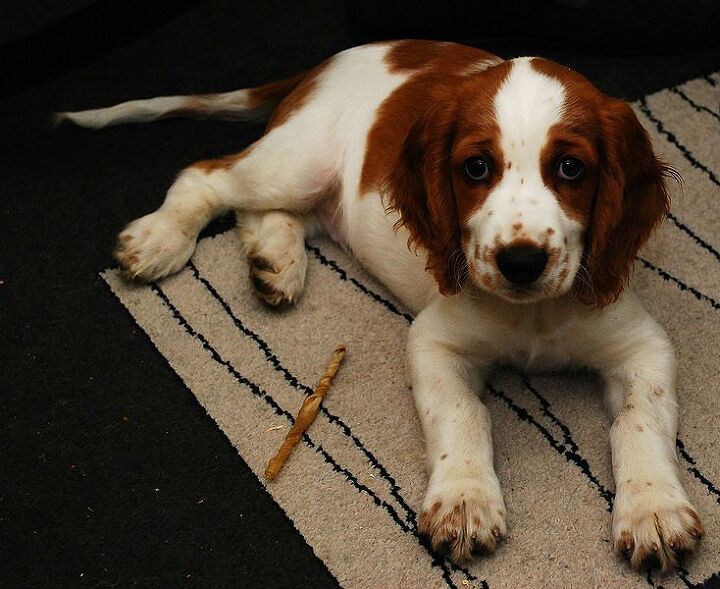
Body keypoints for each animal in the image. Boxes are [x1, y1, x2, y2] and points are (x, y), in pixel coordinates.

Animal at [57, 40, 704, 568]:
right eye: (476, 167)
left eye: (571, 168)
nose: (520, 262)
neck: (531, 311)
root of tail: (331, 61)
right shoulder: (434, 340)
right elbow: (464, 413)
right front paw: (464, 501)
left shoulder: (641, 343)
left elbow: (639, 418)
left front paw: (654, 511)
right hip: (293, 163)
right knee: (207, 176)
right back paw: (161, 239)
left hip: (319, 192)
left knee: (270, 214)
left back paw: (275, 262)